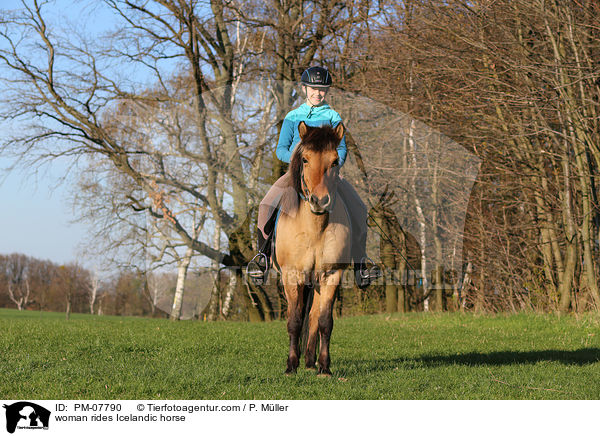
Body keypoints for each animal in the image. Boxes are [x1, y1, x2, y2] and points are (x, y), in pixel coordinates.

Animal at [274, 121, 350, 376]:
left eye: (335, 161)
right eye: (305, 159)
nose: (320, 201)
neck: (314, 228)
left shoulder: (331, 274)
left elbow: (325, 321)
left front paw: (324, 367)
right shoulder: (292, 275)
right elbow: (294, 321)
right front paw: (290, 366)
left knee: (315, 316)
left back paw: (310, 360)